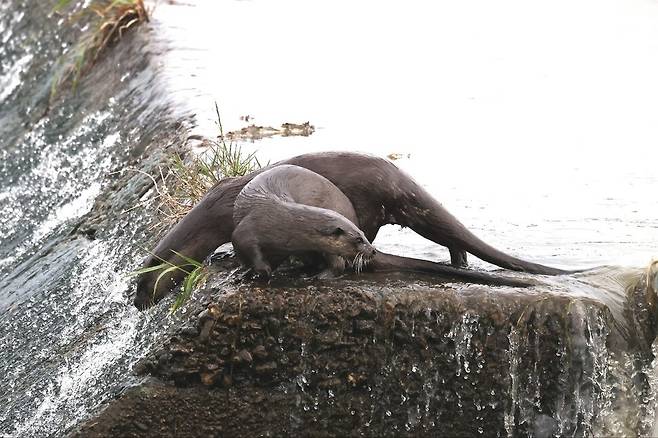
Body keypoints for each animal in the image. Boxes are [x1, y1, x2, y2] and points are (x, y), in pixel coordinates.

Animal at [135, 152, 564, 310]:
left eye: (142, 285)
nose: (139, 305)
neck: (211, 211)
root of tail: (398, 178)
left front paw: (230, 260)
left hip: (369, 208)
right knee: (450, 240)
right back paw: (458, 263)